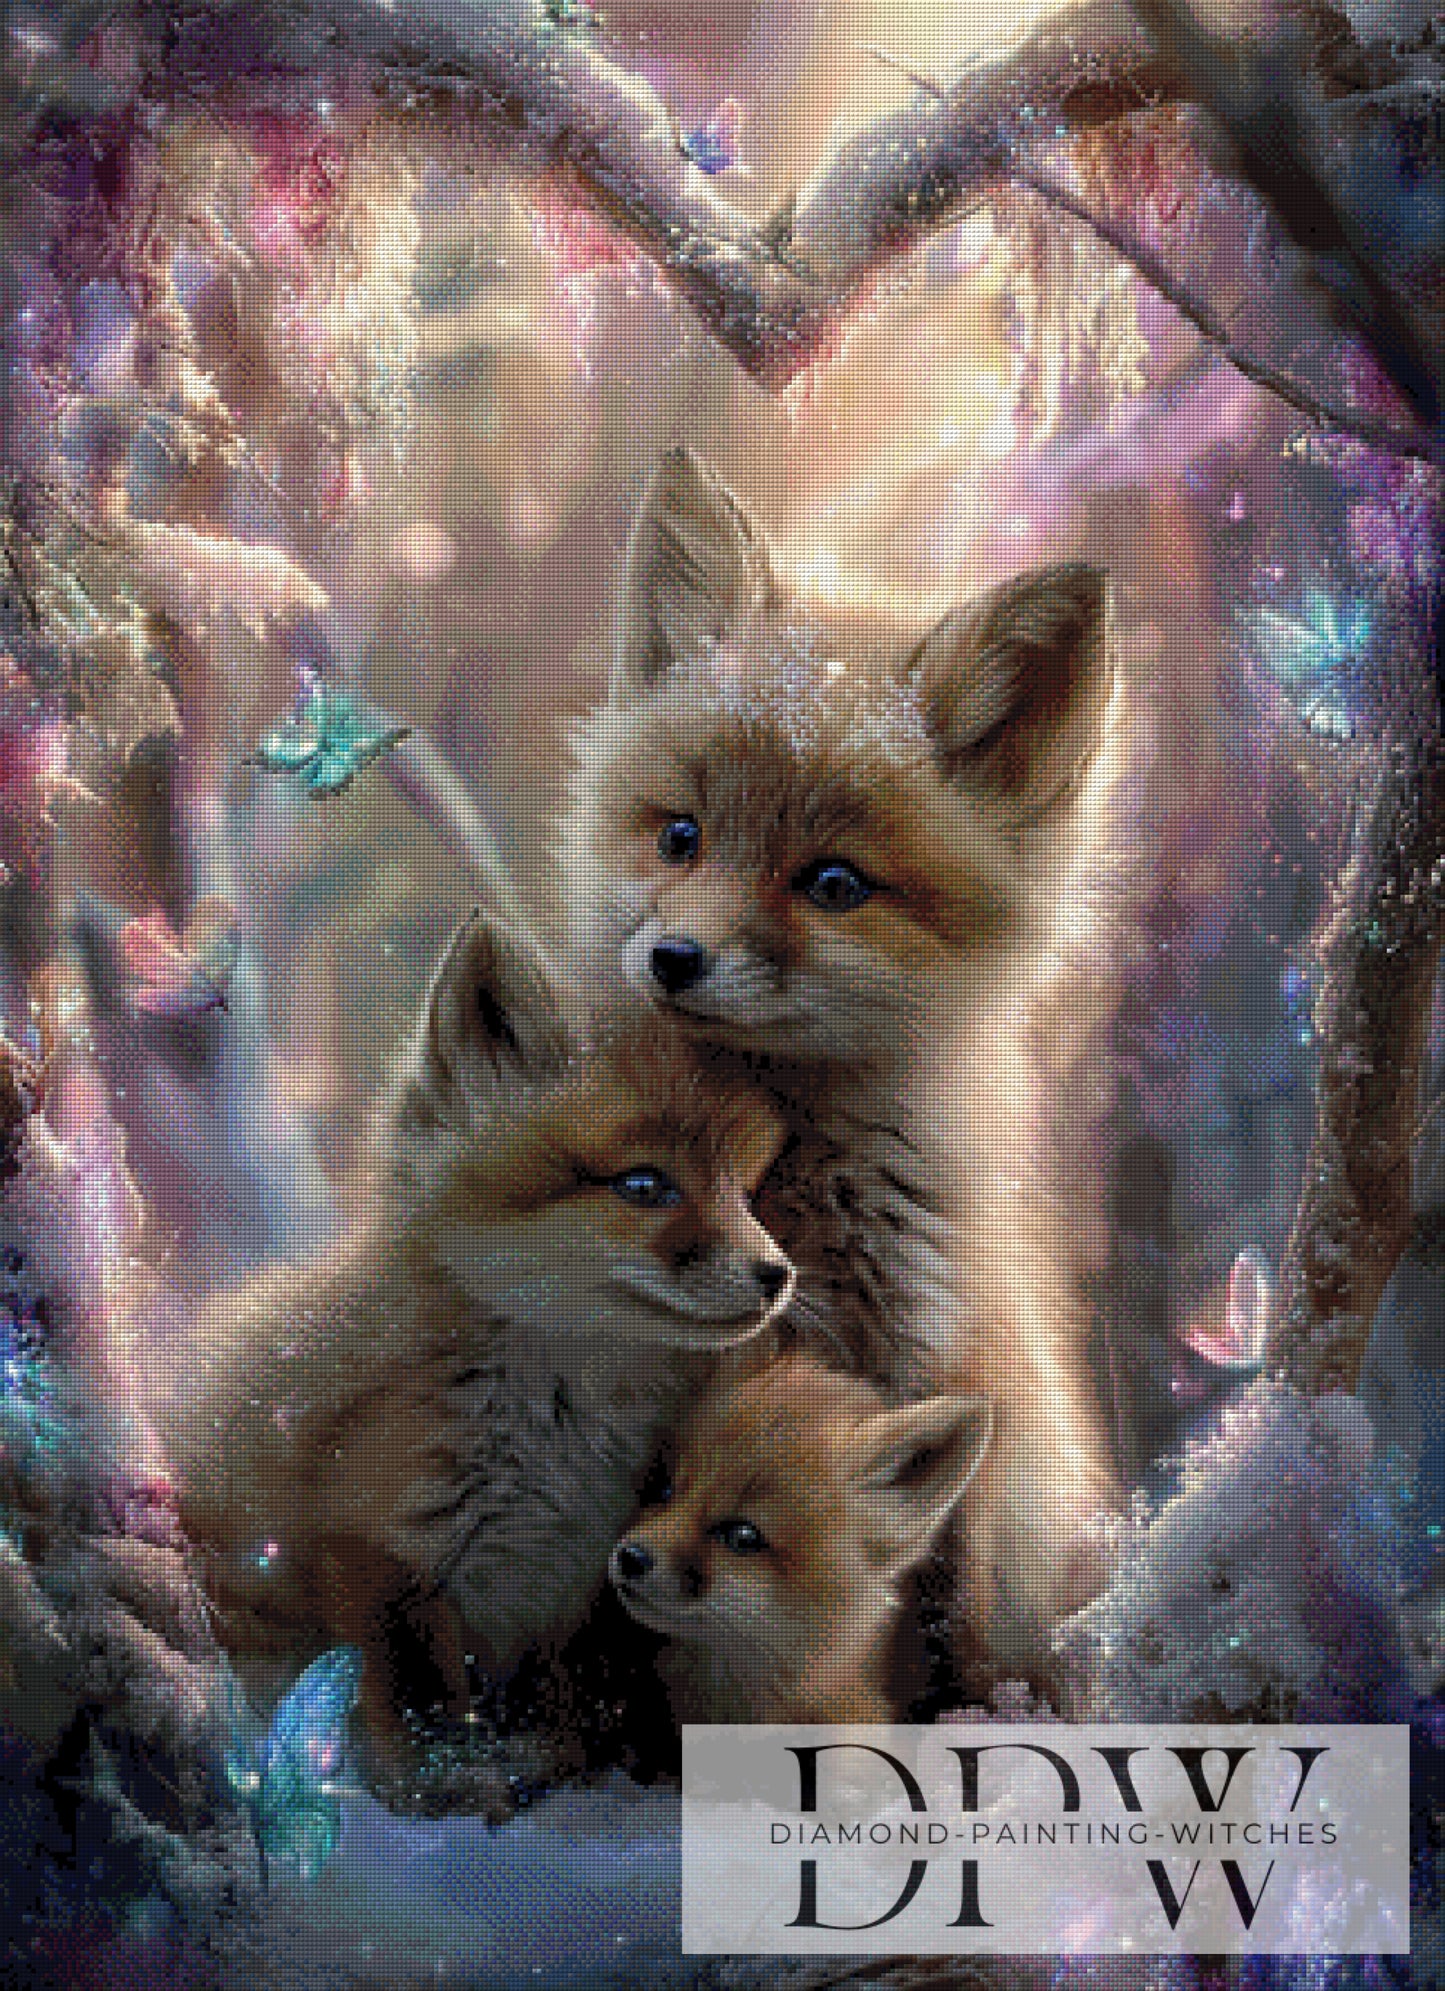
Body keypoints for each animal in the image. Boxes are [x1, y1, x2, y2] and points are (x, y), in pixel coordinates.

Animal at [148, 907, 793, 1782]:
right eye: (642, 1184)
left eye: (745, 1193)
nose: (776, 1275)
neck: (555, 1441)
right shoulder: (378, 1555)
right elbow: (420, 1713)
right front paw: (445, 1791)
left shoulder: (570, 1585)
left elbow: (558, 1703)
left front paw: (559, 1766)